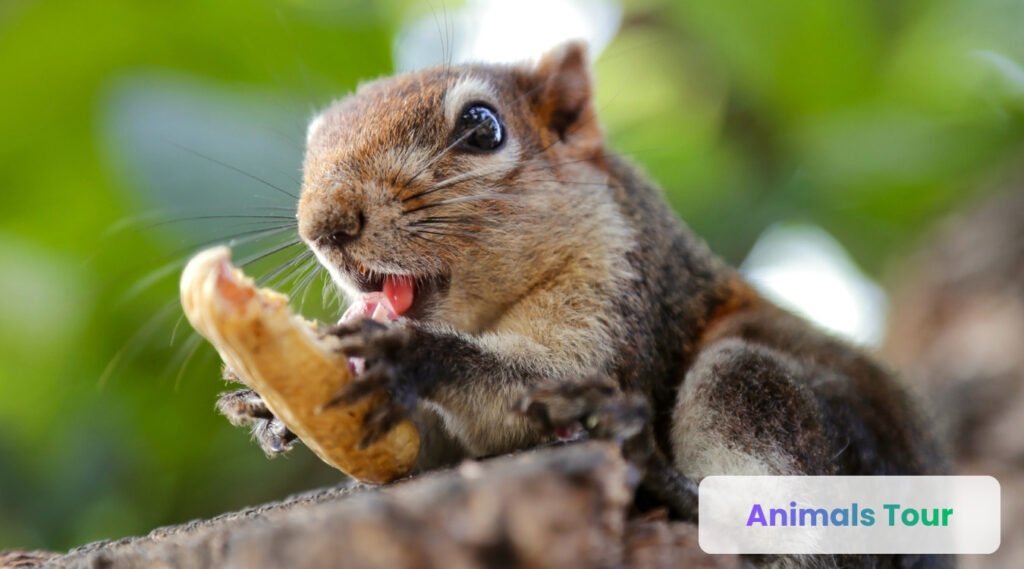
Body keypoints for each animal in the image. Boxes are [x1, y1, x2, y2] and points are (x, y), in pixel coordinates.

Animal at [215, 41, 949, 567]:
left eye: (482, 127)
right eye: (313, 144)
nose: (324, 224)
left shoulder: (616, 295)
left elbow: (547, 386)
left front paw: (410, 357)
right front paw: (268, 405)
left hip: (764, 395)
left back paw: (661, 478)